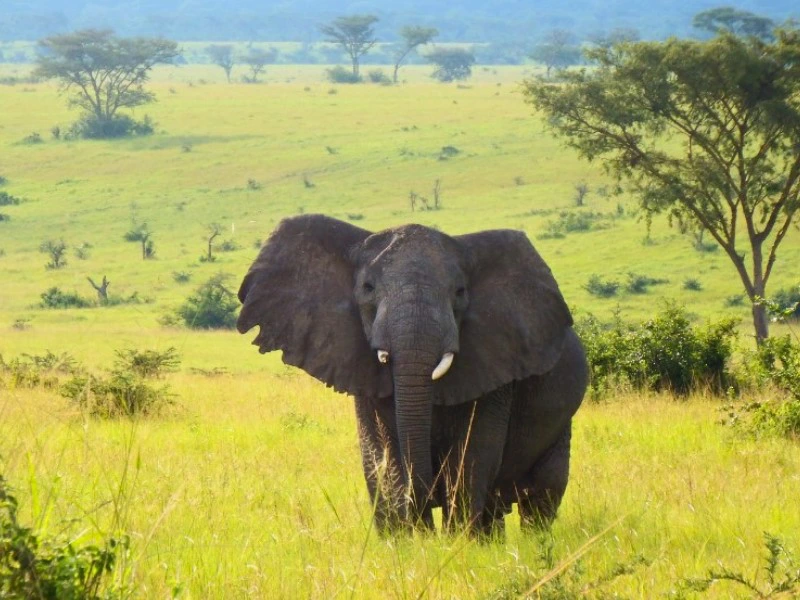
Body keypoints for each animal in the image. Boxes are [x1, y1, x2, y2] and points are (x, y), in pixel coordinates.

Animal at [237, 214, 588, 535]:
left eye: (460, 292)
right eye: (368, 289)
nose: (426, 503)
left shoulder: (496, 363)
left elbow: (472, 454)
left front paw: (458, 543)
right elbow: (383, 451)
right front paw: (407, 542)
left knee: (541, 498)